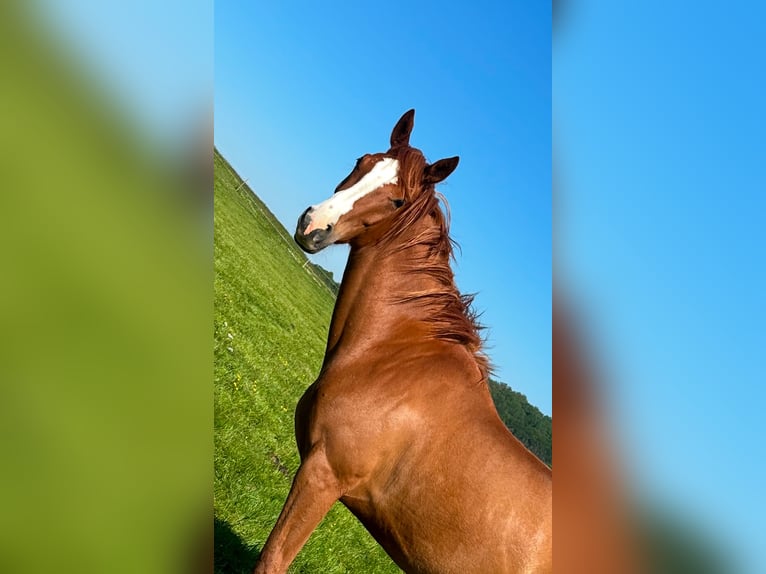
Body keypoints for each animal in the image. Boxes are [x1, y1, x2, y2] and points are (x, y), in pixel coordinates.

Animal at [256, 110, 552, 572]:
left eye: (397, 201)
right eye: (361, 161)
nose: (313, 225)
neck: (393, 358)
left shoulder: (322, 476)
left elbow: (272, 560)